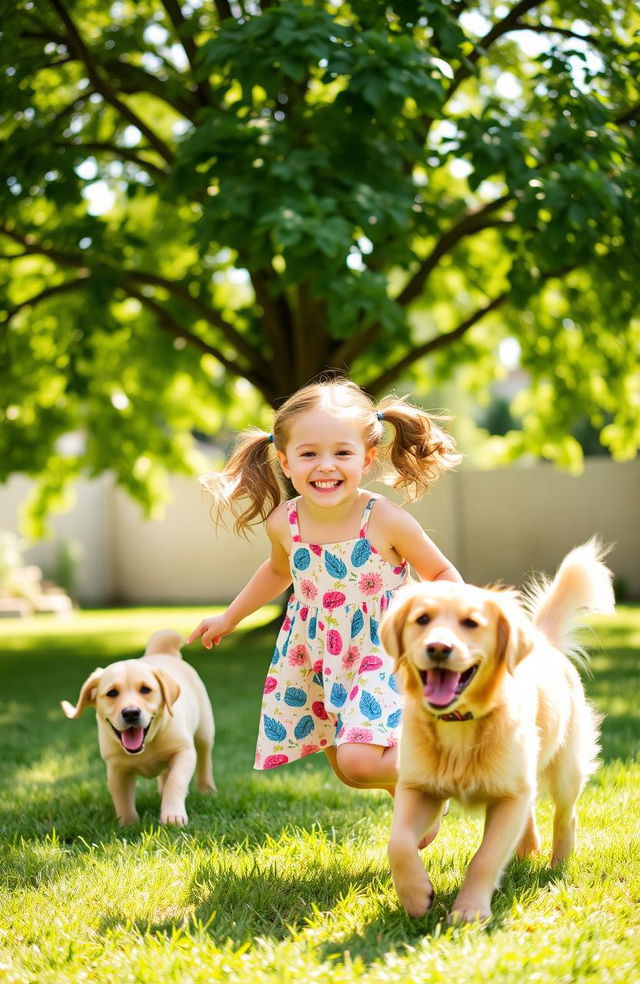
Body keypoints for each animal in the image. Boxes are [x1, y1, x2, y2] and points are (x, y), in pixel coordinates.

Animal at [61, 632, 215, 824]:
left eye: (145, 690)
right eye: (112, 693)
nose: (131, 713)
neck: (145, 745)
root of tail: (163, 652)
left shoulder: (183, 752)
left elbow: (175, 781)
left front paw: (172, 816)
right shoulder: (116, 767)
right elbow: (121, 797)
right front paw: (128, 822)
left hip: (205, 731)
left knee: (204, 758)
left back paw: (206, 788)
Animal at [380, 540, 616, 924]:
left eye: (471, 623)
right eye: (422, 619)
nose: (438, 648)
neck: (460, 722)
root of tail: (543, 642)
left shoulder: (508, 797)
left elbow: (486, 858)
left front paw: (469, 910)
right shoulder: (419, 787)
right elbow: (398, 841)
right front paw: (416, 897)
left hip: (565, 769)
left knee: (566, 812)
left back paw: (558, 862)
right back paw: (528, 848)